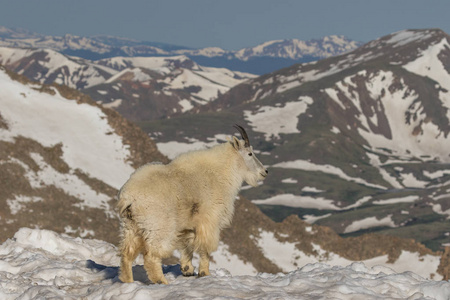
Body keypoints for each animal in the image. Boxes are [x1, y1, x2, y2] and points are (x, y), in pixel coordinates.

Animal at [116, 124, 268, 284]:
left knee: (127, 253)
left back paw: (128, 281)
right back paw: (162, 281)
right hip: (158, 227)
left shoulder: (188, 225)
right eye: (250, 153)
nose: (265, 171)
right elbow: (205, 246)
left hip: (130, 226)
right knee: (151, 255)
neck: (220, 172)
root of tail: (129, 198)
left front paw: (187, 270)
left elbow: (186, 245)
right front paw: (204, 272)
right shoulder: (209, 219)